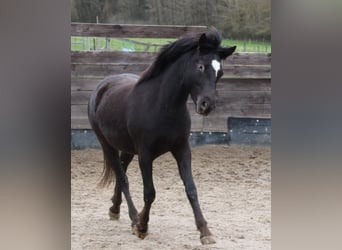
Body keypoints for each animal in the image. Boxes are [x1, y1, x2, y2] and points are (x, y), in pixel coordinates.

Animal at [87, 28, 235, 244]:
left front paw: (205, 232)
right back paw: (133, 218)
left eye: (220, 73)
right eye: (200, 66)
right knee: (122, 178)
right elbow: (150, 193)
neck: (163, 106)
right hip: (107, 145)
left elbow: (191, 189)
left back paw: (115, 209)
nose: (206, 105)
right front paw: (142, 226)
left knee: (121, 170)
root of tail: (101, 87)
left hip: (128, 148)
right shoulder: (145, 155)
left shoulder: (182, 149)